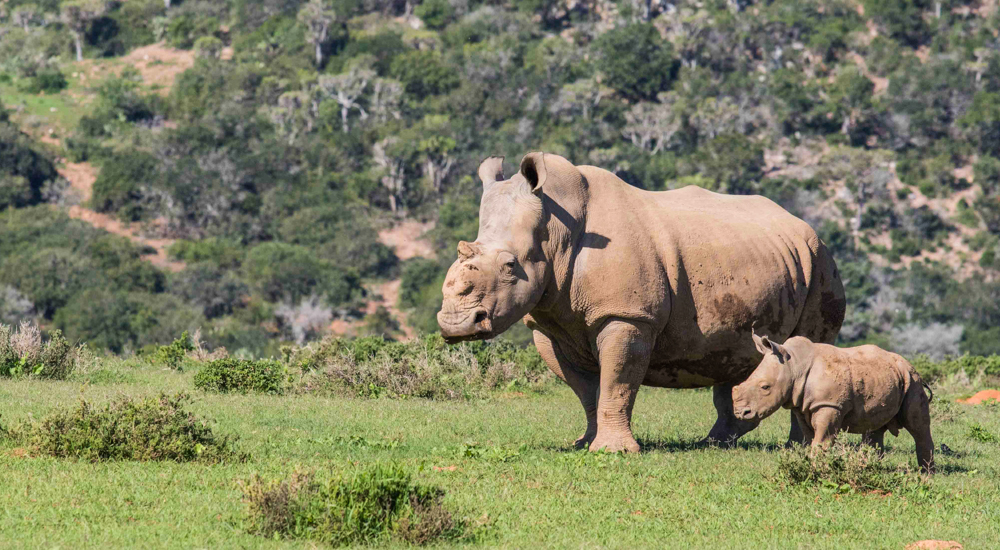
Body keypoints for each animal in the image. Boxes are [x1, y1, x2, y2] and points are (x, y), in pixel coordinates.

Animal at [438, 152, 844, 452]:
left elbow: (617, 382)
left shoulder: (628, 315)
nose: (455, 325)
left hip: (820, 263)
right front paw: (584, 443)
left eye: (510, 266)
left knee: (802, 348)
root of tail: (806, 227)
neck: (556, 230)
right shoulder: (548, 323)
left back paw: (795, 448)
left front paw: (613, 451)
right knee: (731, 357)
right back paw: (714, 444)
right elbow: (586, 389)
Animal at [732, 332, 932, 474]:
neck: (794, 365)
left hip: (912, 380)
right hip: (886, 377)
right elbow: (810, 438)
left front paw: (816, 470)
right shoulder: (801, 407)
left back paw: (926, 473)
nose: (741, 413)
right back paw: (868, 468)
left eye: (765, 387)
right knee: (873, 429)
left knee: (917, 426)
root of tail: (908, 364)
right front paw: (811, 465)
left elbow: (822, 439)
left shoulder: (829, 404)